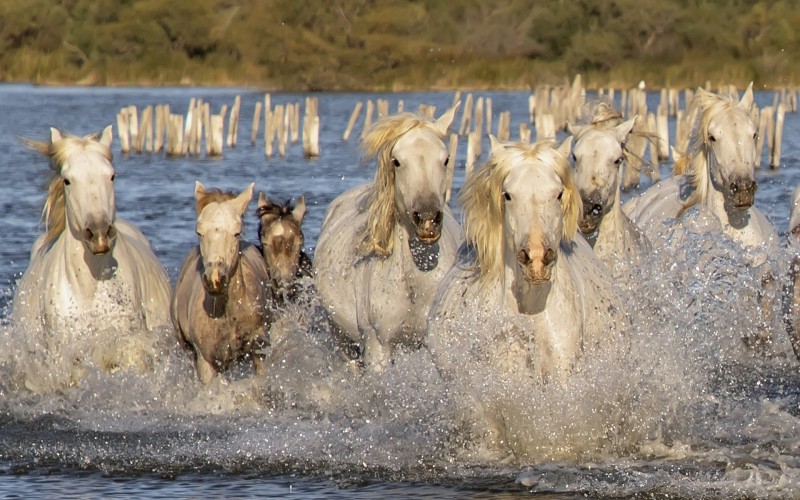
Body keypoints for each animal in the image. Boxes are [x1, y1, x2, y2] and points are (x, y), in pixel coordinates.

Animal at [313, 104, 464, 371]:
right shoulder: (378, 348)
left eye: (446, 159)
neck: (414, 284)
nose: (427, 218)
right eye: (397, 161)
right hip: (342, 341)